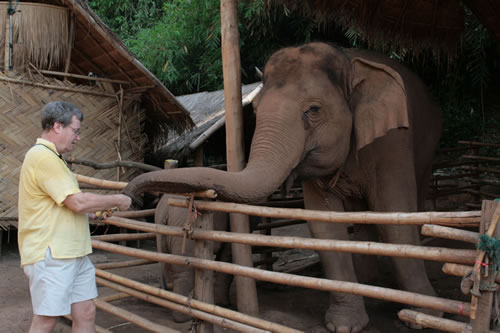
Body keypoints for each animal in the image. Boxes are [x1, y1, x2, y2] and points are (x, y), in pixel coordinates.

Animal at [126, 42, 442, 332]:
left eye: (313, 110)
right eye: (254, 110)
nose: (128, 195)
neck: (348, 61)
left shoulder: (393, 140)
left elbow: (396, 214)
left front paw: (424, 315)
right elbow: (325, 226)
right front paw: (344, 325)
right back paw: (368, 280)